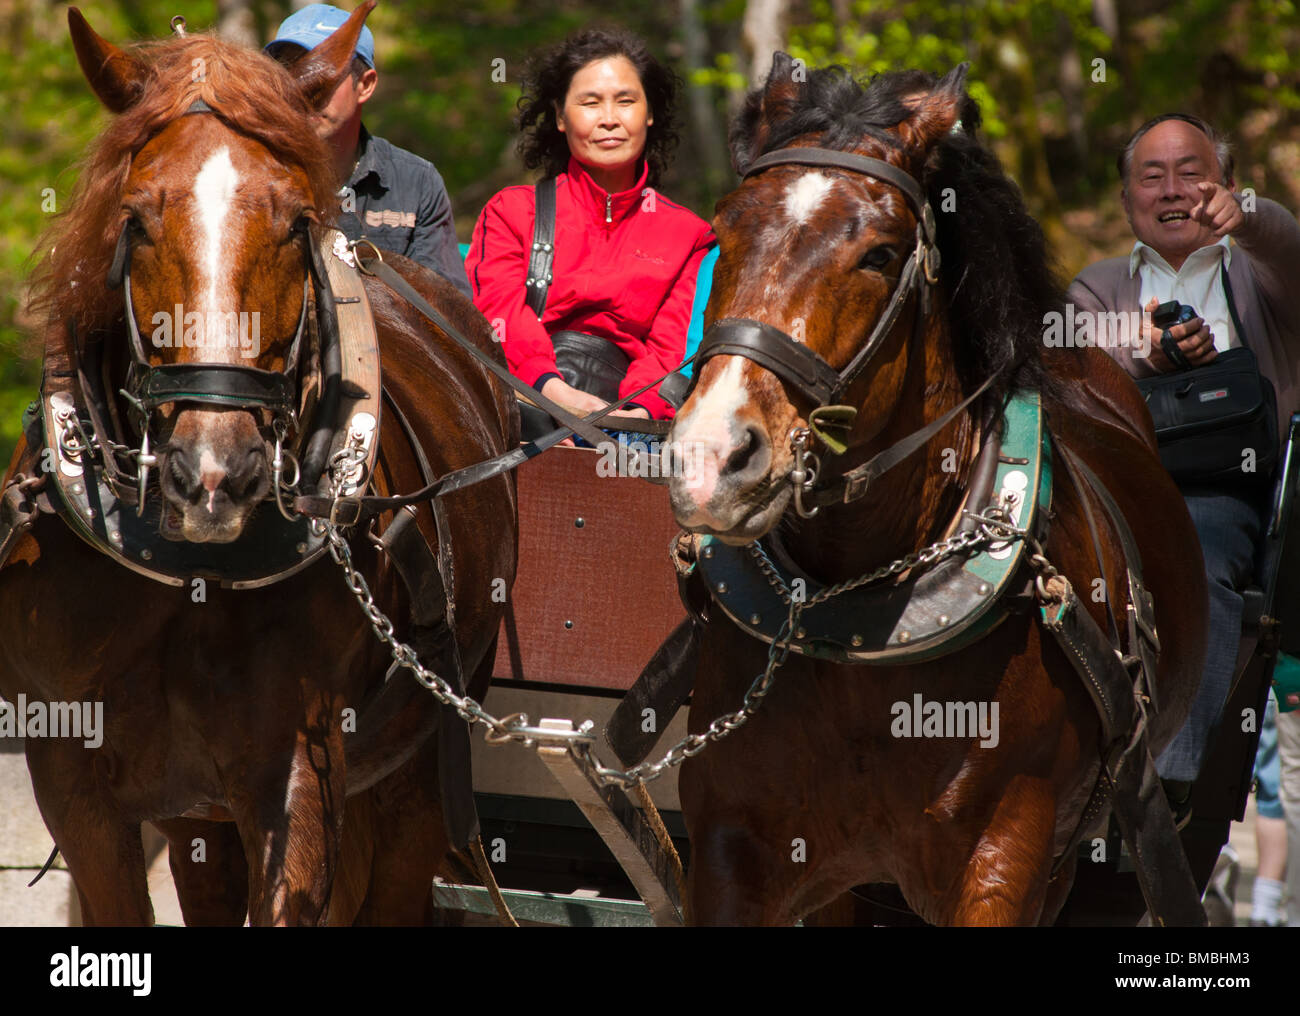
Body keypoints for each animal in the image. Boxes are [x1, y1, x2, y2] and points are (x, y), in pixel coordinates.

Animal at [0, 5, 517, 930]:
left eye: (292, 221)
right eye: (135, 218)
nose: (217, 471)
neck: (189, 574)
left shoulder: (298, 775)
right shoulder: (72, 780)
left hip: (422, 769)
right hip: (196, 814)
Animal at [670, 57, 1206, 930]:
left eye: (882, 253)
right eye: (721, 233)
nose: (712, 456)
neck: (859, 623)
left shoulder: (1005, 855)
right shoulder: (730, 847)